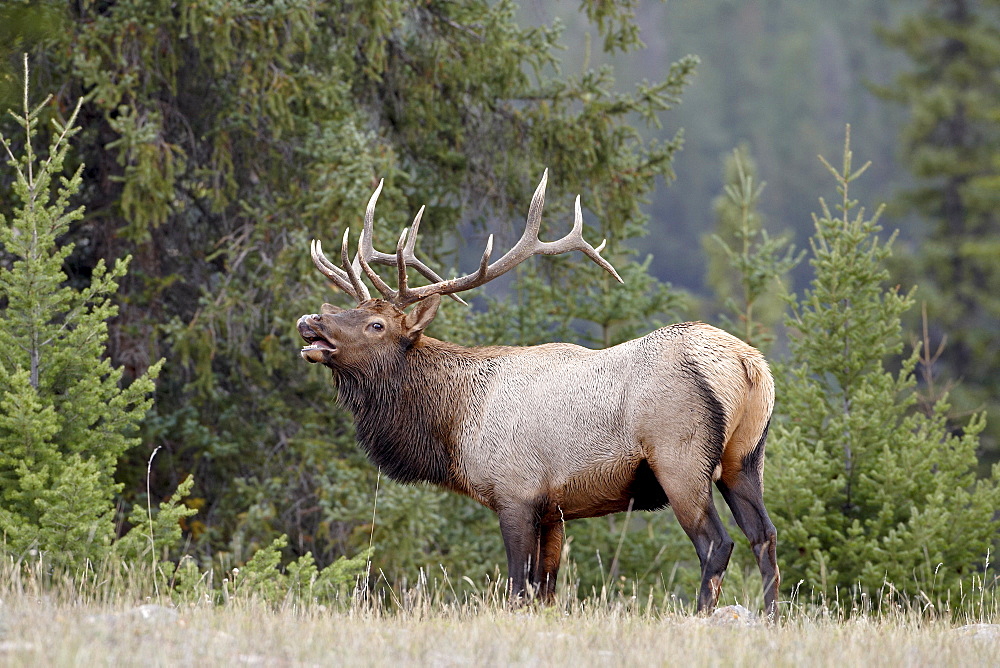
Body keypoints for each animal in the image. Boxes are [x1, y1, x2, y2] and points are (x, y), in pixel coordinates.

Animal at [296, 172, 780, 616]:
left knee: (717, 542)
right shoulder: (555, 510)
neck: (454, 425)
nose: (310, 320)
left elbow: (518, 588)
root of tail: (748, 364)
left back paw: (702, 613)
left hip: (679, 456)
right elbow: (545, 590)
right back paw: (771, 615)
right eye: (352, 309)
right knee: (764, 535)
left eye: (376, 324)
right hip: (744, 457)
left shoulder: (516, 492)